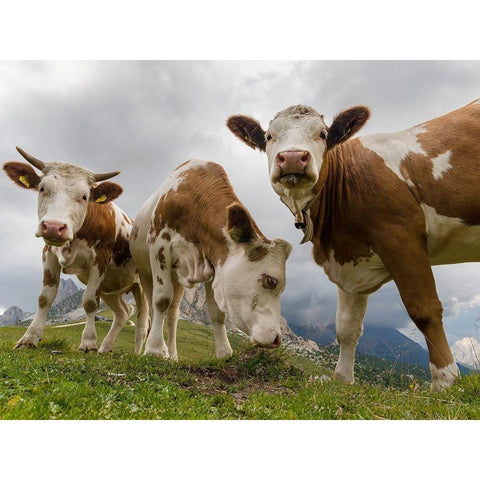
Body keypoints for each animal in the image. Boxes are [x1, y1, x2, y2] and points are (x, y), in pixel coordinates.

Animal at [2, 146, 149, 352]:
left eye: (85, 196)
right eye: (42, 188)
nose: (53, 226)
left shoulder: (100, 260)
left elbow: (89, 302)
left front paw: (88, 343)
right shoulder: (48, 254)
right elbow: (44, 298)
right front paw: (29, 338)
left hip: (143, 285)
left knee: (144, 323)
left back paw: (142, 353)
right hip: (111, 287)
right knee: (122, 313)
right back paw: (105, 348)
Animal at [129, 160, 290, 360]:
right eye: (271, 281)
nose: (276, 338)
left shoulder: (214, 263)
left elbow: (216, 312)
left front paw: (224, 352)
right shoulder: (160, 245)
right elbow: (161, 300)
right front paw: (155, 350)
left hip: (177, 278)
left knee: (173, 314)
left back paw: (173, 355)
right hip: (145, 271)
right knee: (154, 305)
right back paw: (159, 350)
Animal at [225, 99, 480, 392]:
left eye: (322, 134)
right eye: (269, 136)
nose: (292, 158)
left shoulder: (402, 237)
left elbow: (424, 309)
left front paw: (445, 381)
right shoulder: (349, 259)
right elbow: (347, 327)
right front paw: (343, 379)